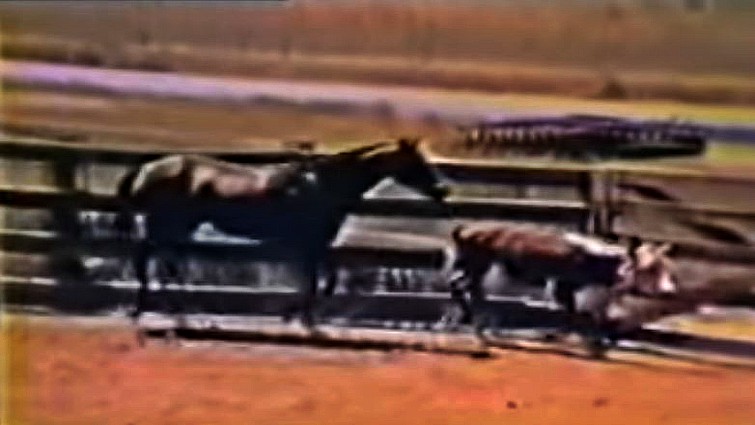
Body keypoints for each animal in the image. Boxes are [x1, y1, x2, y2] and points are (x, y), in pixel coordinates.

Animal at [115, 139, 449, 329]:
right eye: (417, 162)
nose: (442, 190)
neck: (322, 185)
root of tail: (148, 168)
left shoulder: (315, 244)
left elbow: (322, 281)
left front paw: (295, 315)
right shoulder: (310, 243)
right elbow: (316, 283)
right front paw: (301, 318)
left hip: (175, 226)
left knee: (161, 262)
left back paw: (175, 309)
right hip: (168, 223)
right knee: (150, 259)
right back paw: (151, 310)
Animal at [443, 222, 678, 356]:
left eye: (667, 267)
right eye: (648, 269)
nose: (669, 290)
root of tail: (464, 231)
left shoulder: (567, 289)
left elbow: (576, 314)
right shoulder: (561, 286)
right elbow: (578, 315)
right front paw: (593, 345)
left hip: (472, 268)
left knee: (462, 287)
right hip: (478, 267)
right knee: (469, 290)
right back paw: (479, 330)